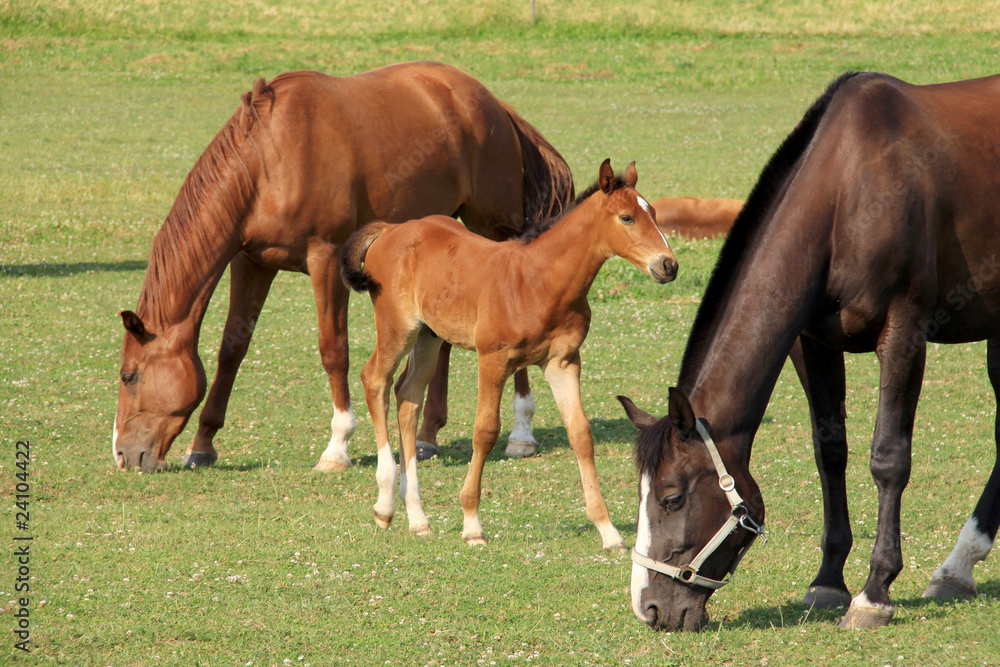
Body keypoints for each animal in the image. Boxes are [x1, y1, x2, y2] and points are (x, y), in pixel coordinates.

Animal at [113, 61, 574, 473]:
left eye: (129, 376)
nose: (122, 455)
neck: (268, 160)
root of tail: (493, 103)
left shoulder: (326, 259)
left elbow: (333, 350)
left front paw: (337, 448)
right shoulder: (250, 262)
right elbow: (232, 350)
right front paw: (202, 446)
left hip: (493, 227)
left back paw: (521, 432)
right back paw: (427, 437)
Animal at [340, 159, 677, 549]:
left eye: (654, 213)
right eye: (627, 217)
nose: (669, 265)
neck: (538, 281)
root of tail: (389, 229)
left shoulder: (563, 363)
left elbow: (580, 433)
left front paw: (608, 531)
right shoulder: (493, 360)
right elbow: (485, 431)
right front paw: (472, 523)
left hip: (428, 336)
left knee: (408, 398)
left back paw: (417, 518)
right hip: (398, 328)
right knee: (375, 380)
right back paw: (384, 505)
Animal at [619, 71, 1000, 631]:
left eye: (671, 497)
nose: (649, 608)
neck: (849, 190)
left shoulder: (904, 332)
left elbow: (889, 457)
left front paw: (874, 592)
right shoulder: (810, 342)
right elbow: (830, 452)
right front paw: (828, 581)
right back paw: (957, 567)